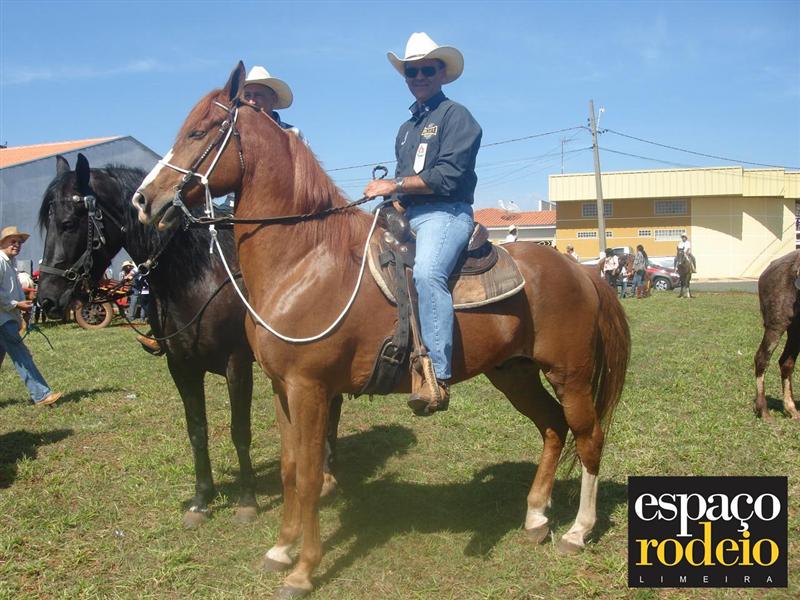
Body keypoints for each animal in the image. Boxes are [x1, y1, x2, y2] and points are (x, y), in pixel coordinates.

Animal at [36, 153, 343, 528]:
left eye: (68, 223)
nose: (47, 298)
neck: (199, 276)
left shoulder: (237, 365)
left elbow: (239, 430)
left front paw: (247, 501)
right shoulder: (181, 366)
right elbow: (197, 430)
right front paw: (201, 500)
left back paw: (326, 472)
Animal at [132, 63, 631, 598]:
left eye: (198, 132)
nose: (144, 199)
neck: (305, 262)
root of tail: (582, 271)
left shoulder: (310, 390)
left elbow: (309, 477)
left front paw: (303, 570)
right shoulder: (281, 388)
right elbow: (289, 471)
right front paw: (280, 550)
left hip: (570, 375)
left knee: (589, 437)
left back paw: (577, 531)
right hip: (514, 373)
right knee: (553, 427)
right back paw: (536, 518)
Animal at [754, 250, 800, 419]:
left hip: (795, 329)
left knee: (786, 362)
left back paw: (791, 409)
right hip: (777, 325)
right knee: (761, 358)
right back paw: (763, 410)